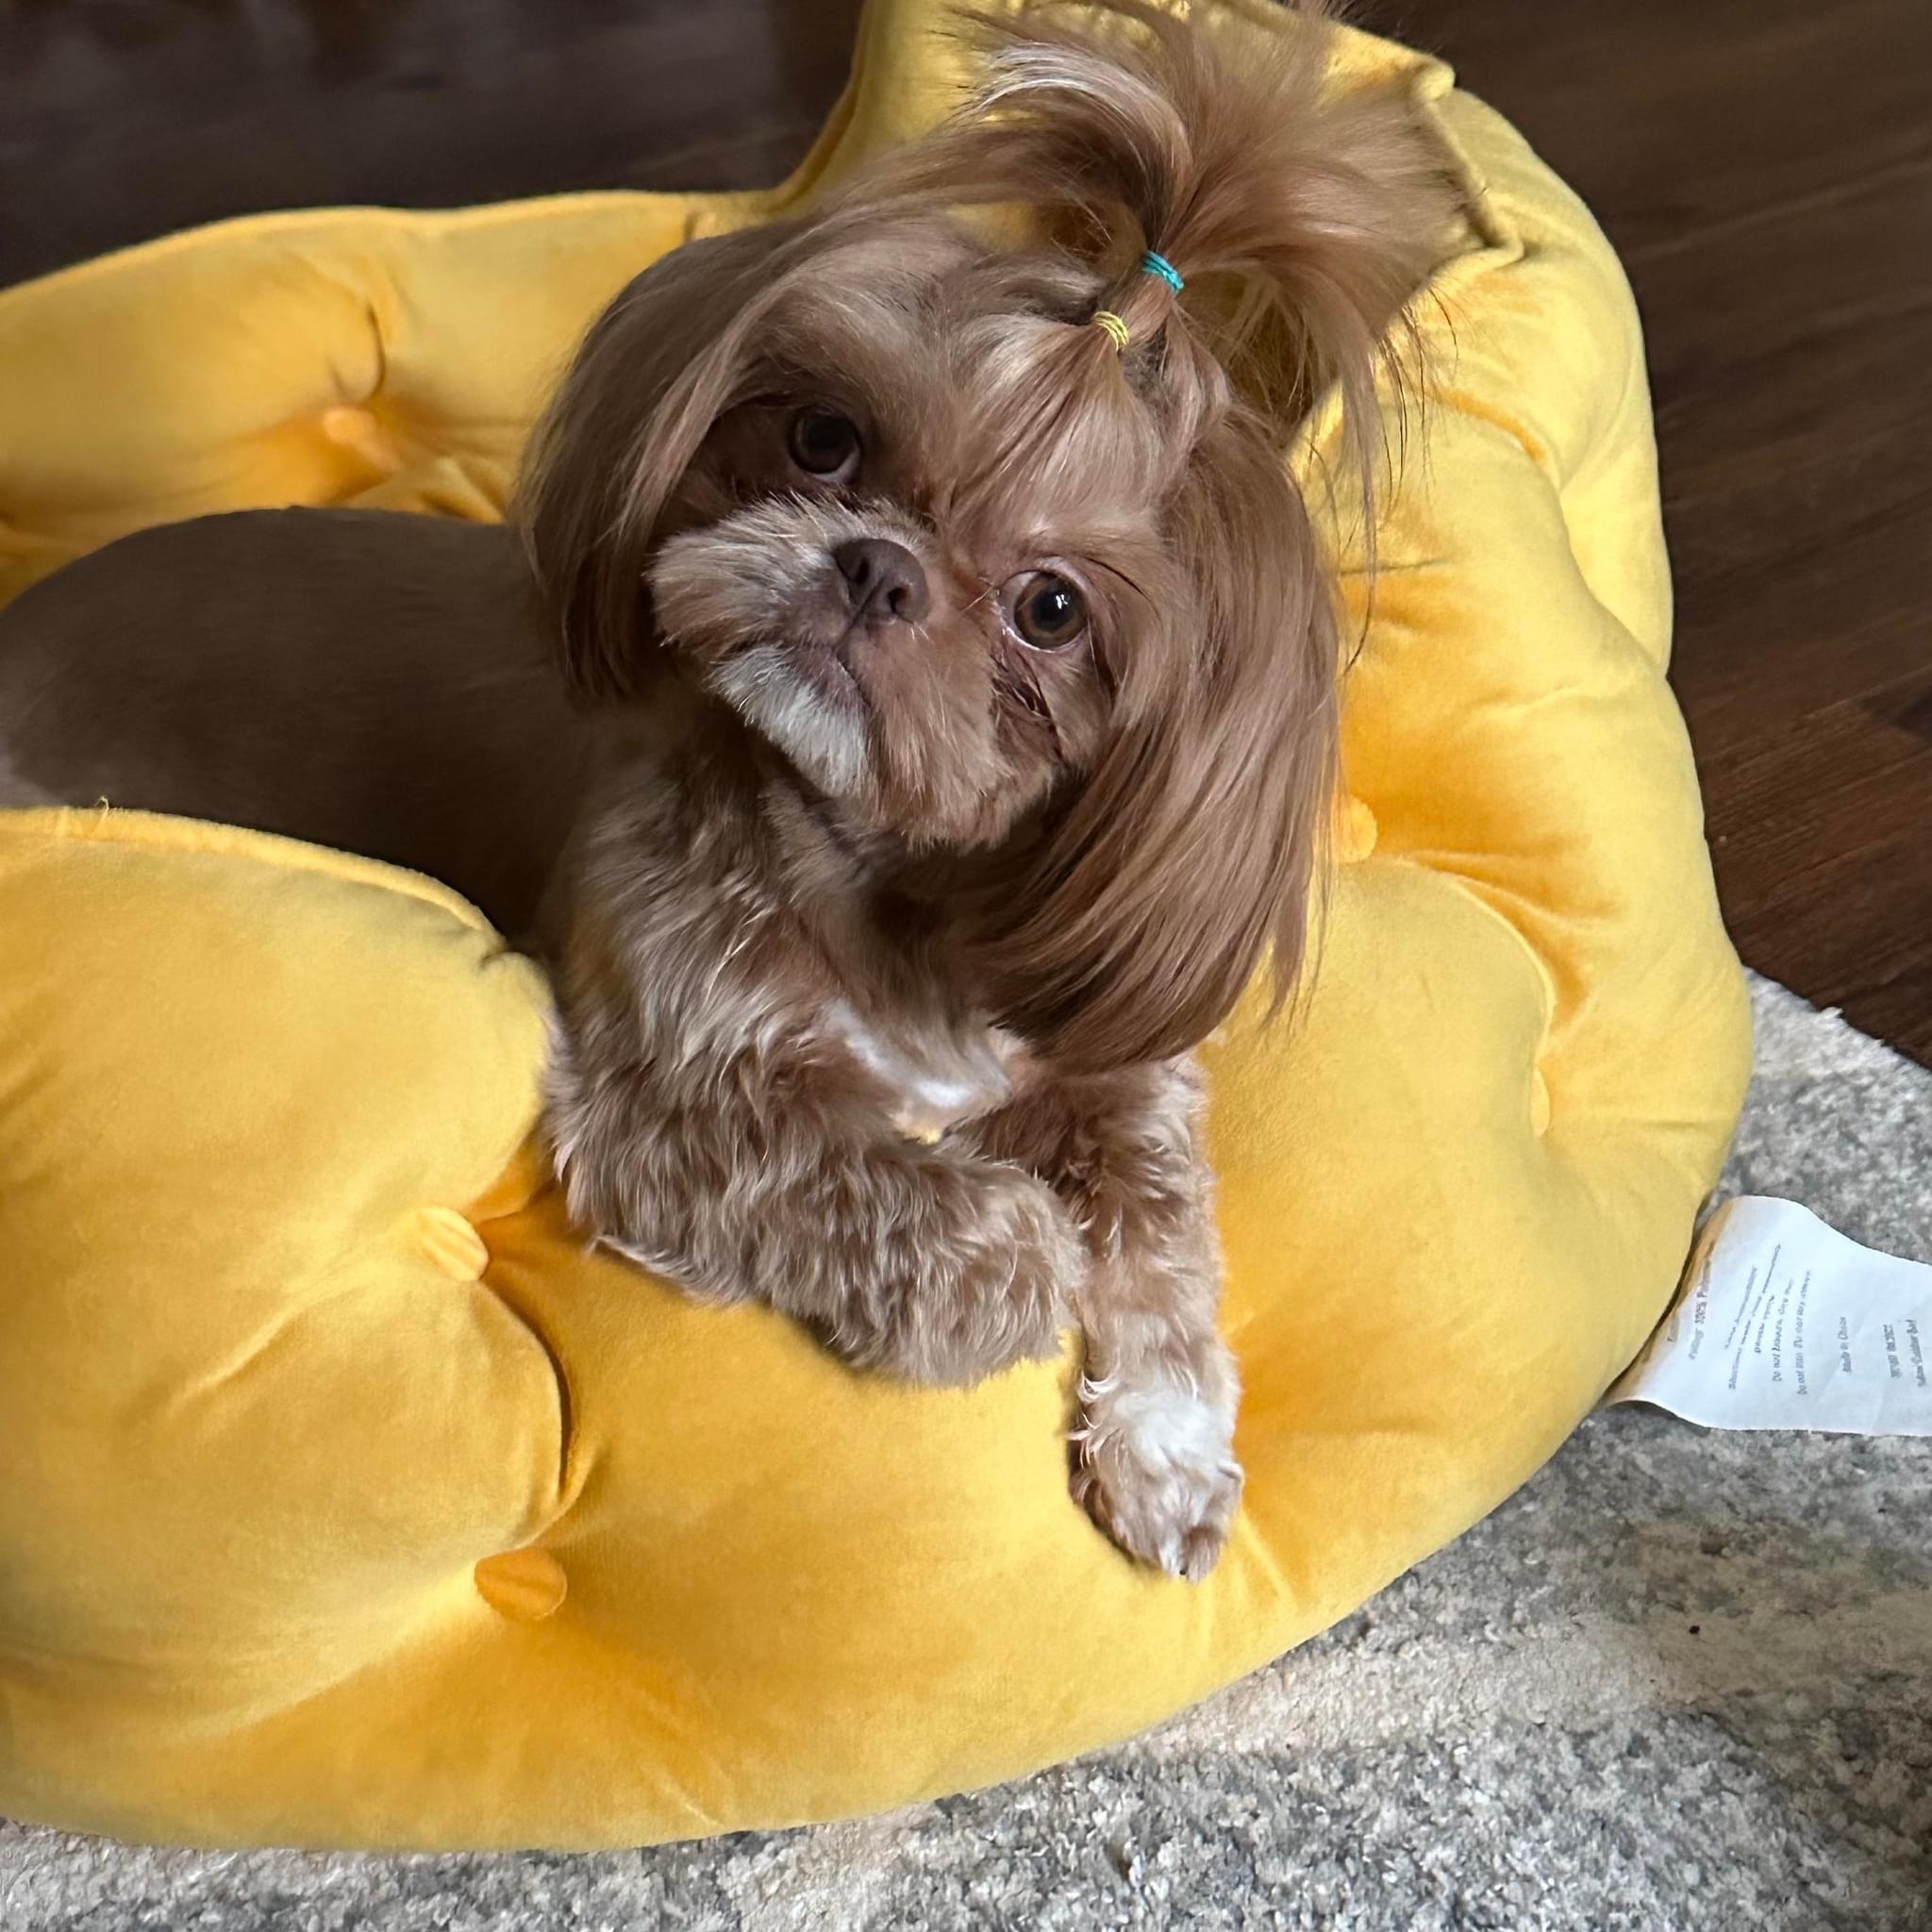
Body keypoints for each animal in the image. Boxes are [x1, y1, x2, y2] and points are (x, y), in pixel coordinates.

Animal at [0, 2, 1447, 1577]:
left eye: (1053, 609)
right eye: (825, 439)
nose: (874, 567)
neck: (877, 877)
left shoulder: (1109, 1055)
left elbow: (1159, 1226)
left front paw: (1172, 1452)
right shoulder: (676, 1094)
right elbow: (953, 1209)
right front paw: (1016, 1278)